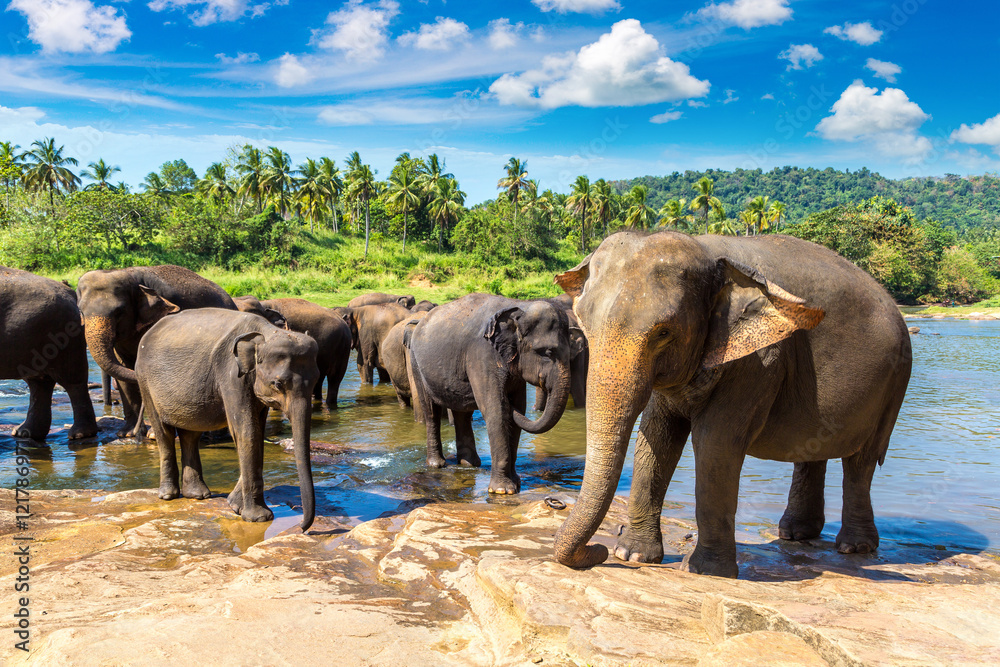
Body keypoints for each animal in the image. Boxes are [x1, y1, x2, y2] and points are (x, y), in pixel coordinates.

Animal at [0, 267, 98, 441]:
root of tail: (70, 292)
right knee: (39, 382)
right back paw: (24, 434)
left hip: (61, 335)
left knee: (72, 381)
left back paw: (79, 435)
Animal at [77, 265, 236, 438]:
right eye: (81, 312)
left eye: (119, 311)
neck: (130, 275)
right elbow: (121, 368)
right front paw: (127, 434)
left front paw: (153, 435)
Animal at [135, 308, 319, 529]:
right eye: (278, 384)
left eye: (316, 380)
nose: (301, 526)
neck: (267, 332)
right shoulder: (230, 374)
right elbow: (247, 431)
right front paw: (258, 518)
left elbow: (257, 431)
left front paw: (235, 506)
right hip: (144, 381)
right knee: (164, 434)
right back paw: (168, 496)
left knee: (190, 435)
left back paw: (197, 495)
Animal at [406, 294, 574, 494]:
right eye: (547, 352)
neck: (519, 307)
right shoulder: (482, 354)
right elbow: (497, 410)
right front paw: (503, 490)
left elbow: (518, 410)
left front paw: (516, 484)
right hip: (416, 363)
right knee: (431, 411)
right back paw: (437, 465)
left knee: (462, 413)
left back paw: (469, 464)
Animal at [551, 231, 911, 578]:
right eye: (586, 325)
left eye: (663, 333)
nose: (597, 551)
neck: (707, 249)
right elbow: (657, 437)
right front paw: (633, 555)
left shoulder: (759, 361)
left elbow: (715, 444)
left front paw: (704, 570)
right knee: (812, 452)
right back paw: (795, 535)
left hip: (894, 383)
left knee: (862, 461)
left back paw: (854, 547)